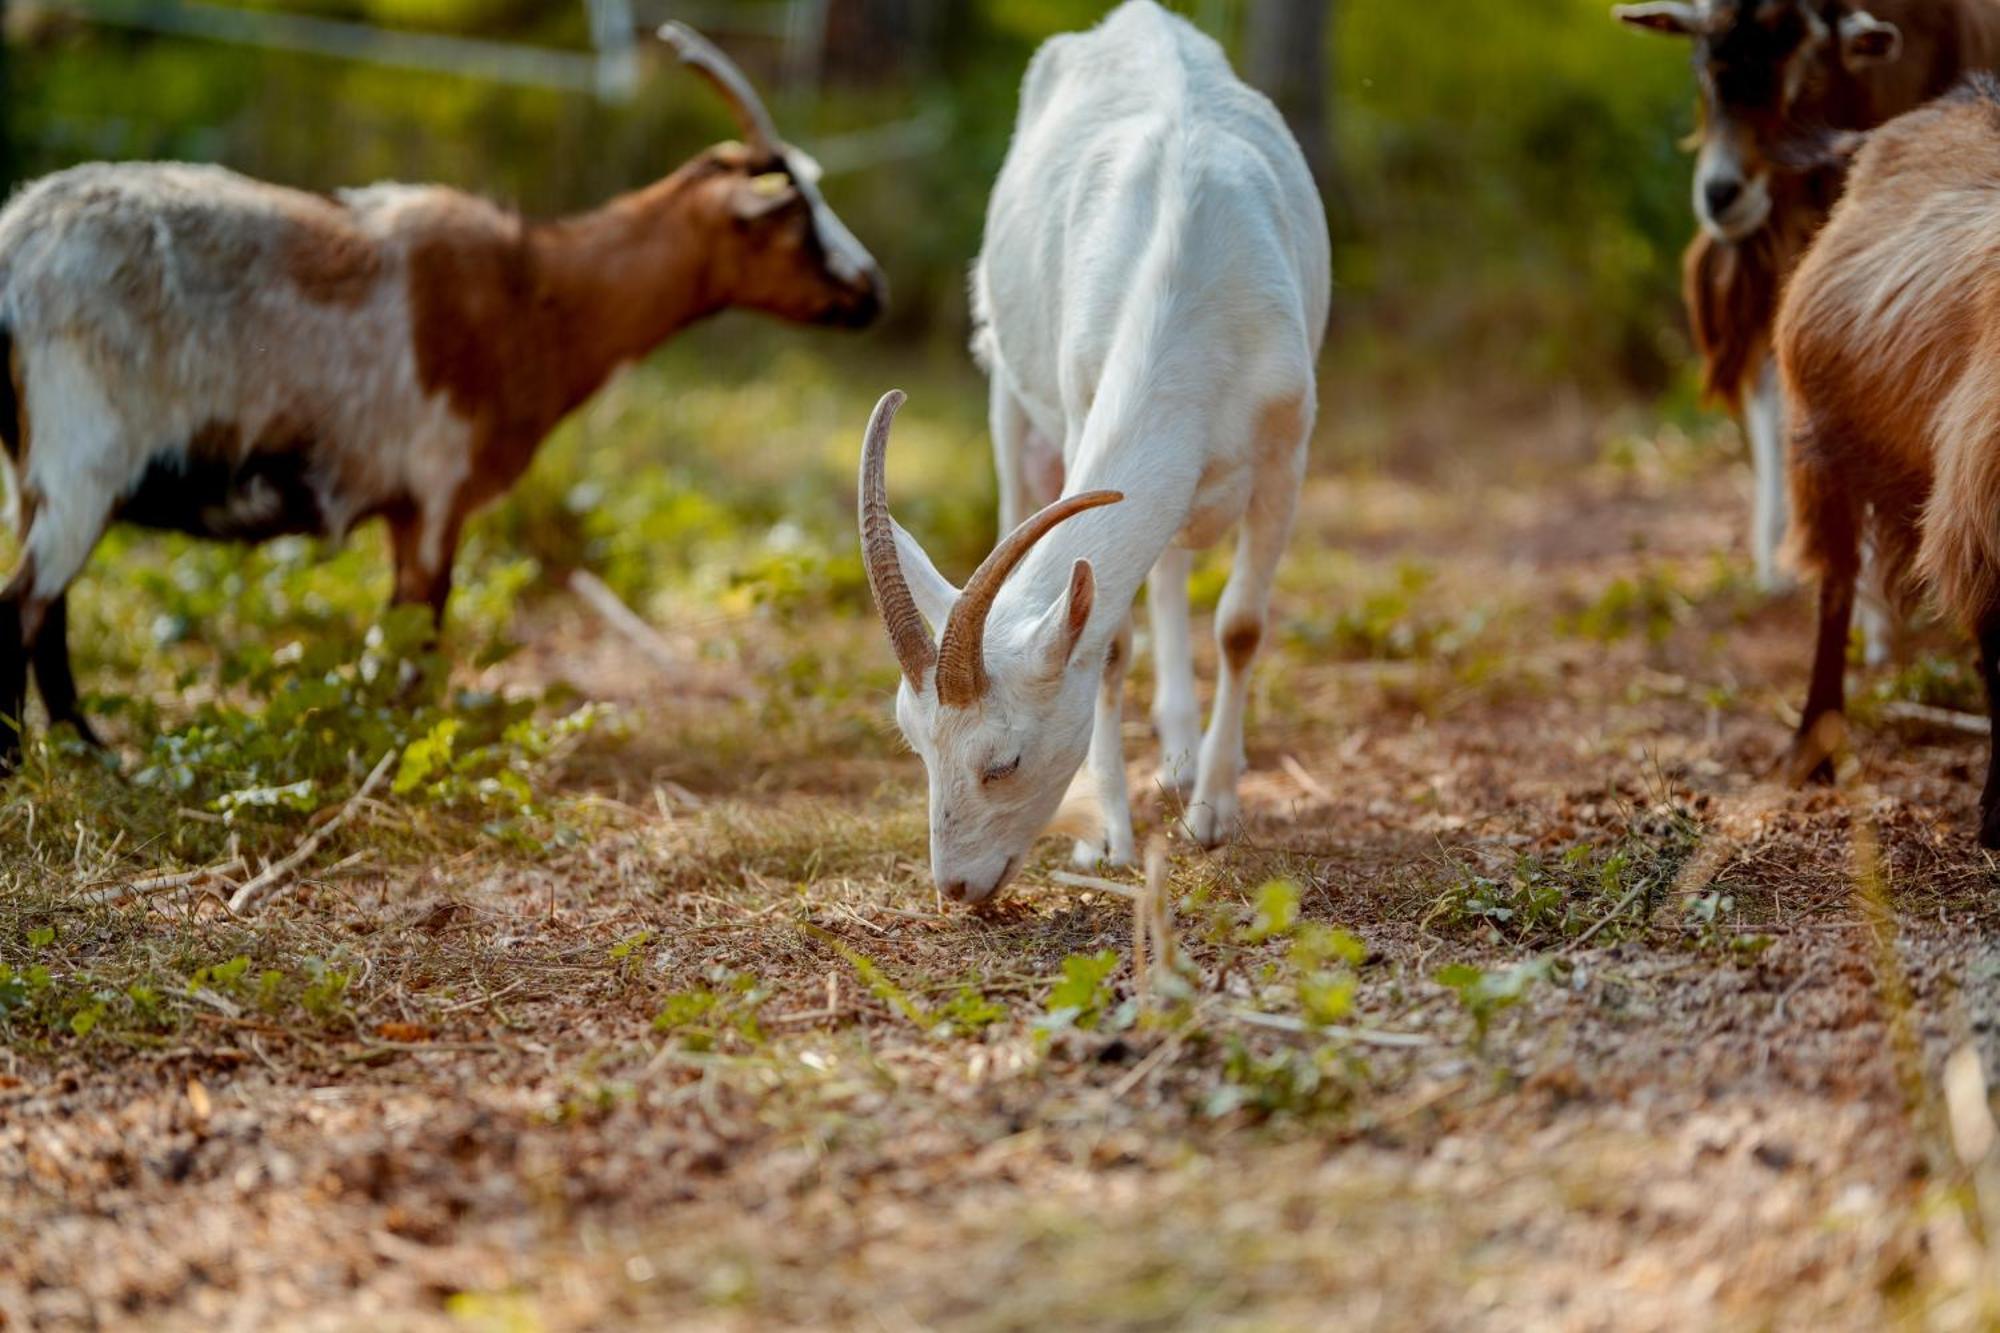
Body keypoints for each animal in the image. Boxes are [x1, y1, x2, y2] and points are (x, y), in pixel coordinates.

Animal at [0, 26, 884, 764]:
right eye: (797, 220)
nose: (872, 289)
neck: (537, 293)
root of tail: (16, 247)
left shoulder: (406, 505)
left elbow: (397, 633)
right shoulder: (436, 489)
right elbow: (419, 634)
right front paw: (403, 745)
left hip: (39, 473)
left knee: (50, 610)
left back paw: (87, 751)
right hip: (84, 453)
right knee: (24, 604)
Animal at [856, 0, 1328, 904]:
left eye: (1003, 761)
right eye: (914, 743)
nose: (955, 887)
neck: (1191, 283)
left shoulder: (1288, 449)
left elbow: (1241, 625)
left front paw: (1215, 813)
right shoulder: (1081, 408)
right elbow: (1108, 642)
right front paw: (1109, 835)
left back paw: (1187, 760)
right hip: (1011, 391)